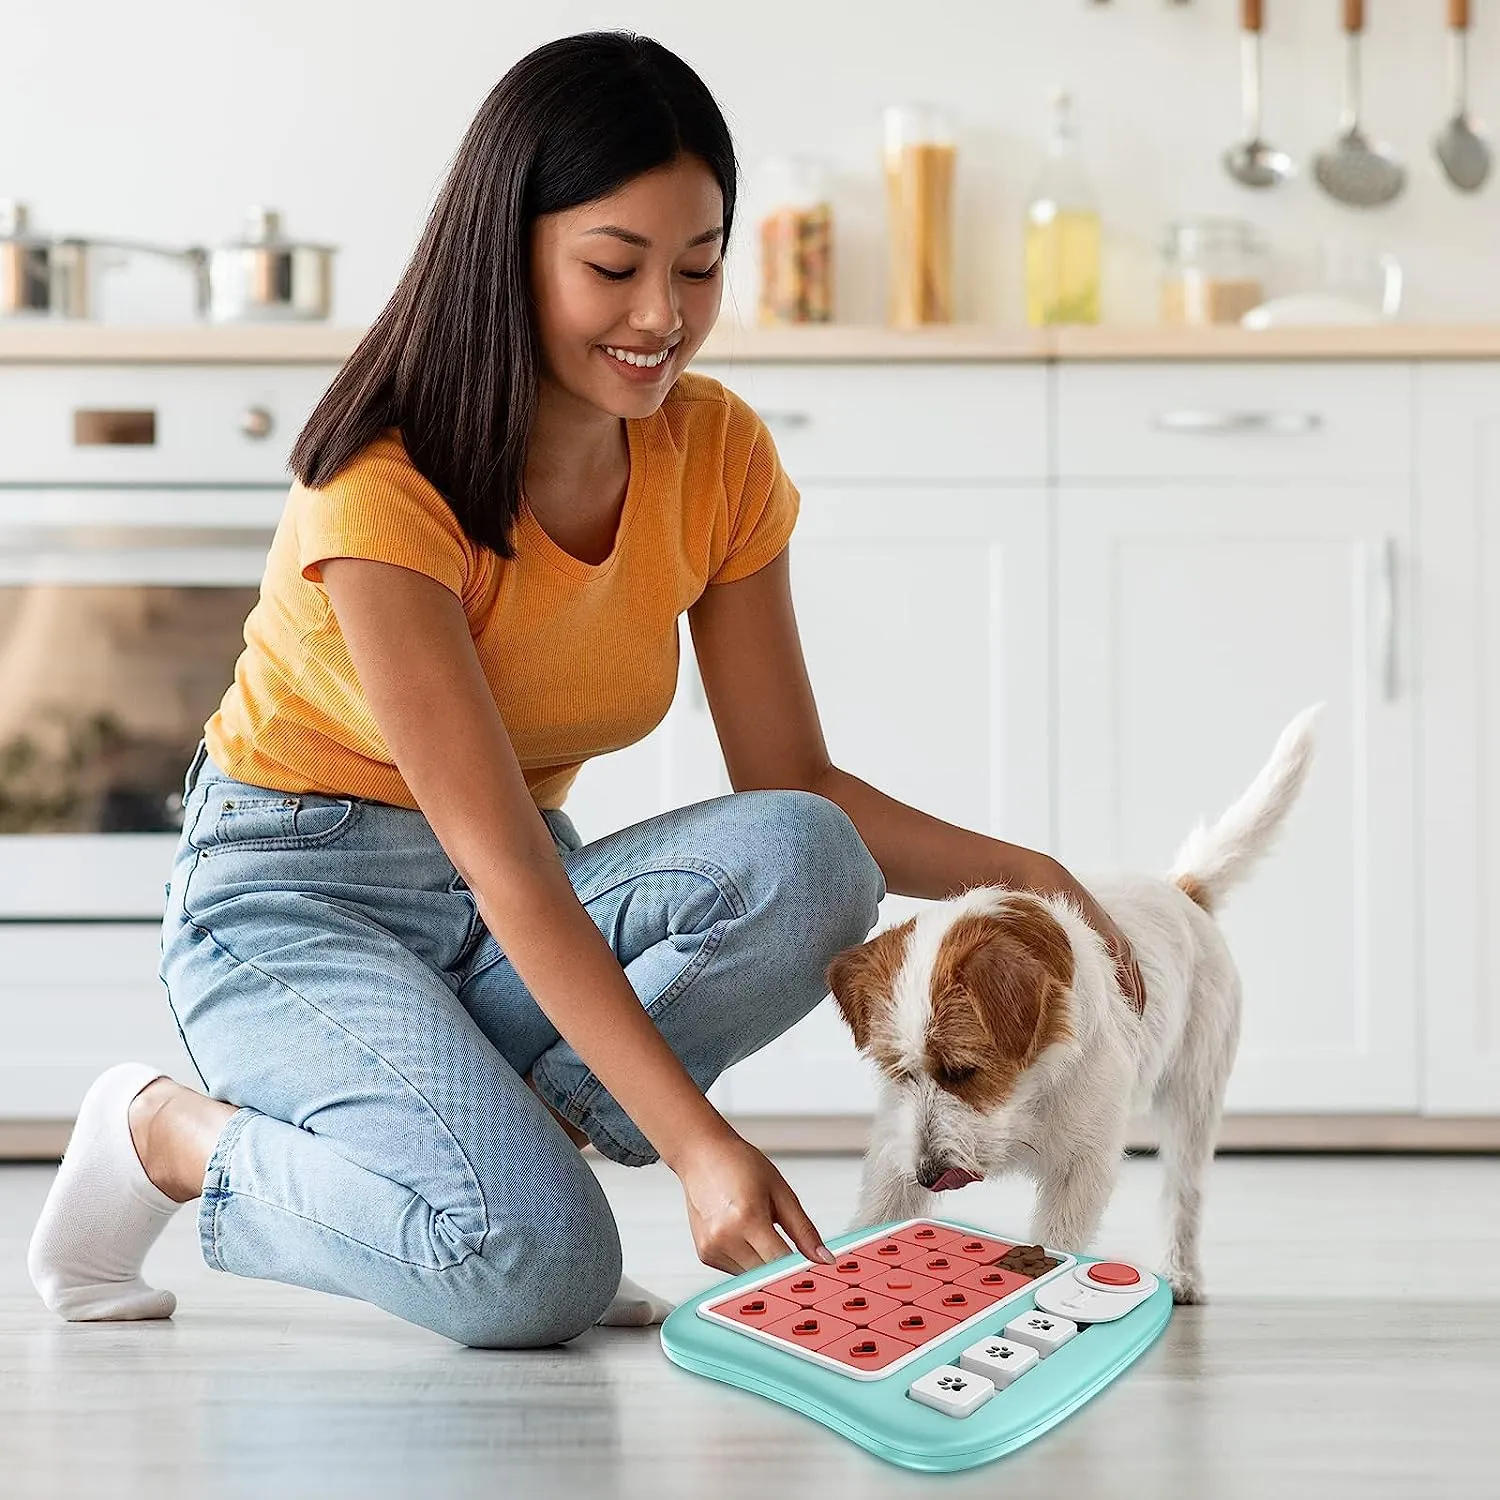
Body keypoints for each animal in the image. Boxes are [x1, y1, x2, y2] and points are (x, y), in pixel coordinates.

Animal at [828, 702, 1320, 1302]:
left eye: (962, 1072)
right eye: (897, 1072)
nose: (926, 1173)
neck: (1028, 1091)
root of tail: (1180, 889)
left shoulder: (1081, 1169)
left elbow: (1058, 1239)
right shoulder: (895, 1147)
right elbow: (880, 1209)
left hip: (1195, 1100)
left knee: (1184, 1194)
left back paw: (1181, 1274)